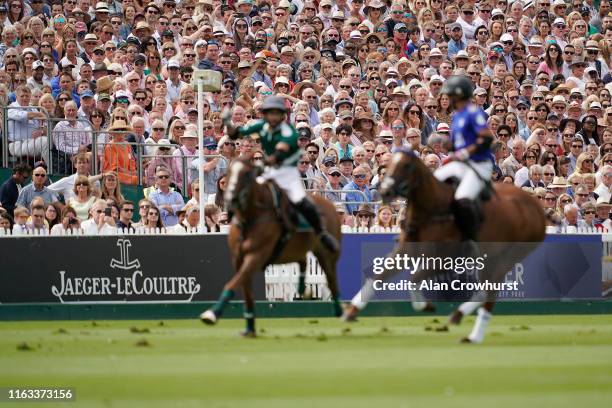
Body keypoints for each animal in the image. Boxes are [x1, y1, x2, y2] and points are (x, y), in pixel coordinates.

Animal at [201, 159, 344, 334]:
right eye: (227, 173)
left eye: (247, 174)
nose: (230, 200)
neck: (251, 217)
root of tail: (330, 204)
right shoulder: (238, 259)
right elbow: (245, 290)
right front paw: (249, 327)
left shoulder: (256, 256)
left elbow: (234, 283)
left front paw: (212, 314)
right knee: (303, 262)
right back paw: (304, 291)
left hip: (325, 253)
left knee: (331, 279)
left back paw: (341, 312)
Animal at [342, 148, 548, 342]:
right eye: (388, 163)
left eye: (406, 166)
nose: (385, 191)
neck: (431, 210)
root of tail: (537, 207)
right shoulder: (405, 251)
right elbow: (379, 275)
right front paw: (351, 312)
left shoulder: (444, 258)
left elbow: (413, 278)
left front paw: (425, 305)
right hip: (491, 258)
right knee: (486, 288)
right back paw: (458, 317)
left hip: (510, 255)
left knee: (491, 289)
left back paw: (473, 335)